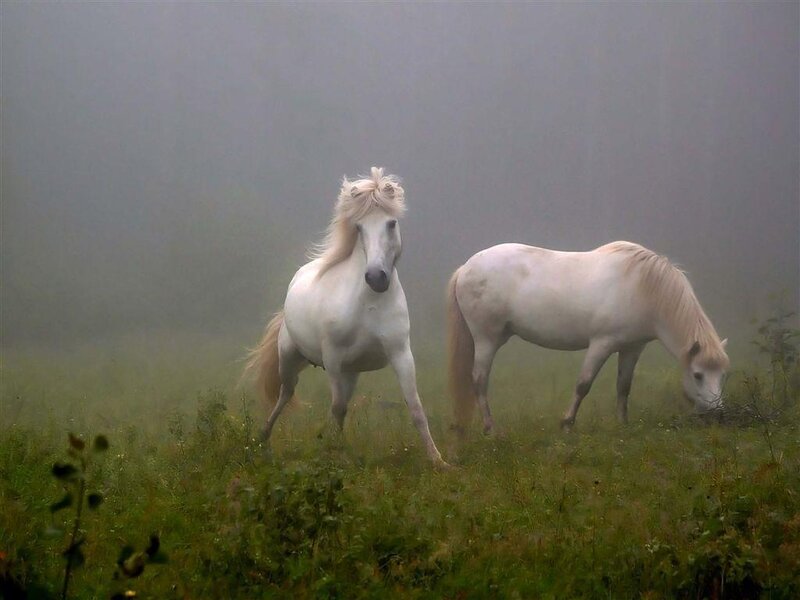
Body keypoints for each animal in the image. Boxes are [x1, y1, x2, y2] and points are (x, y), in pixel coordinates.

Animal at [245, 167, 448, 468]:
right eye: (359, 227)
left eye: (391, 223)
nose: (376, 278)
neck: (369, 304)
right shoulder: (333, 359)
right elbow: (337, 408)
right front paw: (333, 455)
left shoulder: (400, 353)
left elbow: (415, 407)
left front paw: (438, 461)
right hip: (290, 360)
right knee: (285, 395)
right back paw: (263, 437)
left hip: (351, 372)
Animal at [447, 241, 729, 434]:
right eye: (698, 375)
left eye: (722, 375)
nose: (717, 415)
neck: (643, 288)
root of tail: (465, 268)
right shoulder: (601, 344)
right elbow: (583, 384)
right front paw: (567, 423)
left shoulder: (632, 348)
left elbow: (624, 386)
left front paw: (622, 424)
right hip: (486, 340)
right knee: (479, 380)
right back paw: (491, 429)